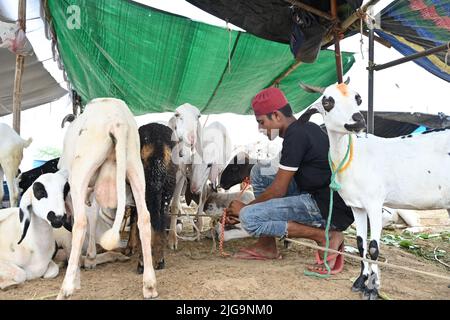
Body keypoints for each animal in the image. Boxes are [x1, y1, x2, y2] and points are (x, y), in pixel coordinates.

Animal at [57, 97, 157, 300]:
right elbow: (93, 214)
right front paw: (91, 257)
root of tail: (116, 120)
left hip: (81, 171)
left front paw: (89, 259)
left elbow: (87, 217)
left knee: (80, 223)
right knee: (144, 217)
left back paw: (66, 288)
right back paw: (149, 284)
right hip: (135, 167)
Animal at [298, 78, 450, 300]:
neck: (354, 156)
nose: (358, 120)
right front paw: (360, 282)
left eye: (358, 98)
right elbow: (361, 243)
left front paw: (373, 288)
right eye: (327, 101)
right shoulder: (357, 206)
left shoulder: (375, 203)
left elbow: (374, 247)